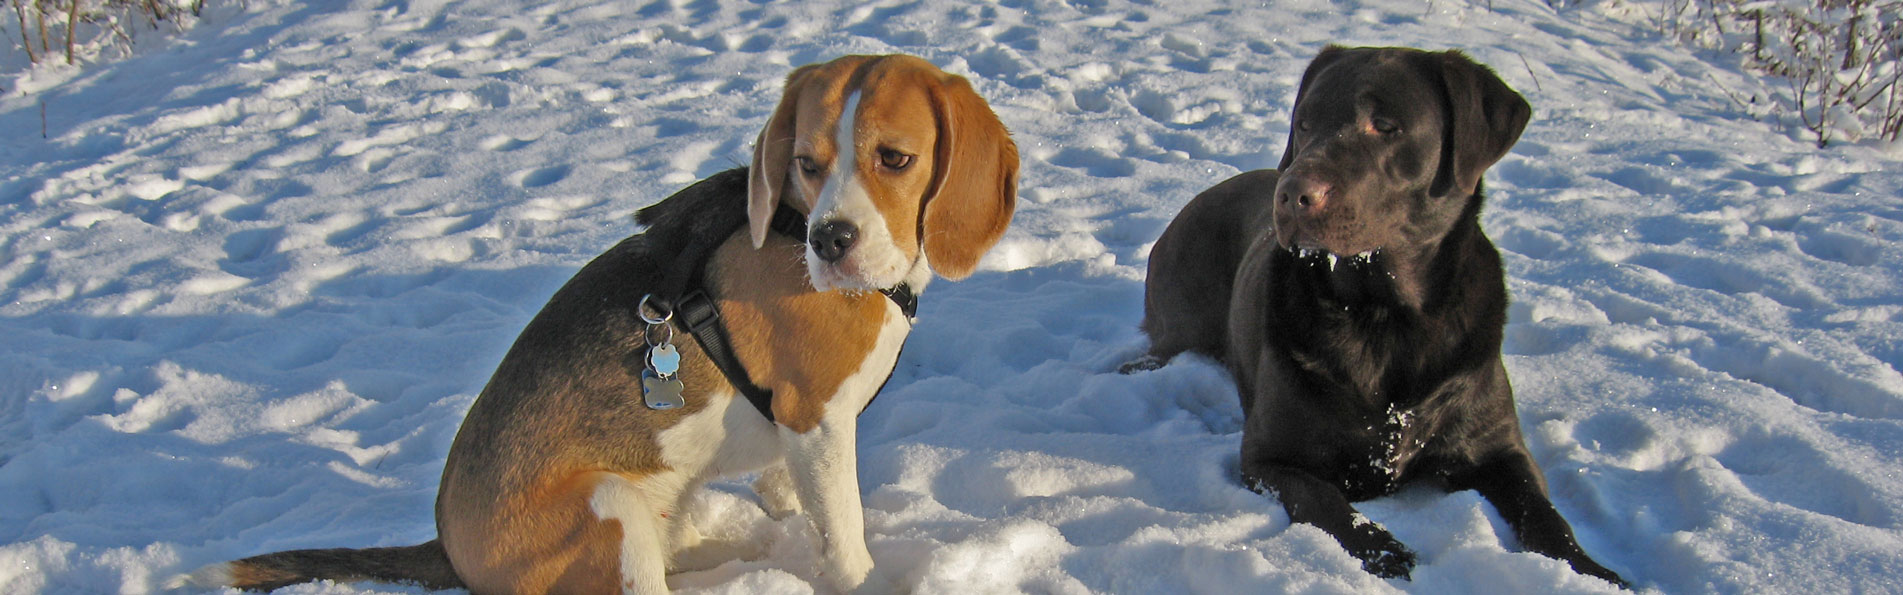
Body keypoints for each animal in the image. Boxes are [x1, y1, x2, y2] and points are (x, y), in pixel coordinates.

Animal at [171, 53, 1020, 589]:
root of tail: (446, 546)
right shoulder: (815, 419)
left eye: (894, 158)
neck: (787, 222)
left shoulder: (800, 435)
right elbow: (842, 537)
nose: (829, 240)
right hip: (605, 510)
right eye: (806, 164)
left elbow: (795, 495)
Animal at [1118, 45, 1628, 585]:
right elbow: (1325, 498)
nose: (1292, 194)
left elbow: (1545, 514)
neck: (1385, 317)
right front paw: (1386, 551)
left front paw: (1594, 573)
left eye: (1384, 125)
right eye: (1304, 122)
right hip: (1183, 322)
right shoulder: (1269, 458)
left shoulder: (1500, 448)